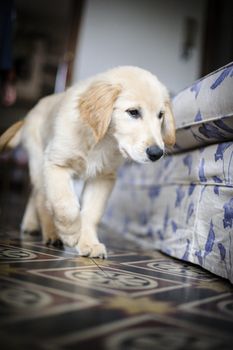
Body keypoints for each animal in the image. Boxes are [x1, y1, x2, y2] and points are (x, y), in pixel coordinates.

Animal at [0, 66, 175, 258]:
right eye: (133, 112)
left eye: (160, 115)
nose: (157, 153)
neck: (101, 140)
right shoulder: (56, 164)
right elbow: (65, 205)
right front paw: (70, 234)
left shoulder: (103, 177)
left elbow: (92, 213)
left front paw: (89, 243)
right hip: (38, 160)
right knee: (41, 198)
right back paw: (51, 232)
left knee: (37, 195)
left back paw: (30, 224)